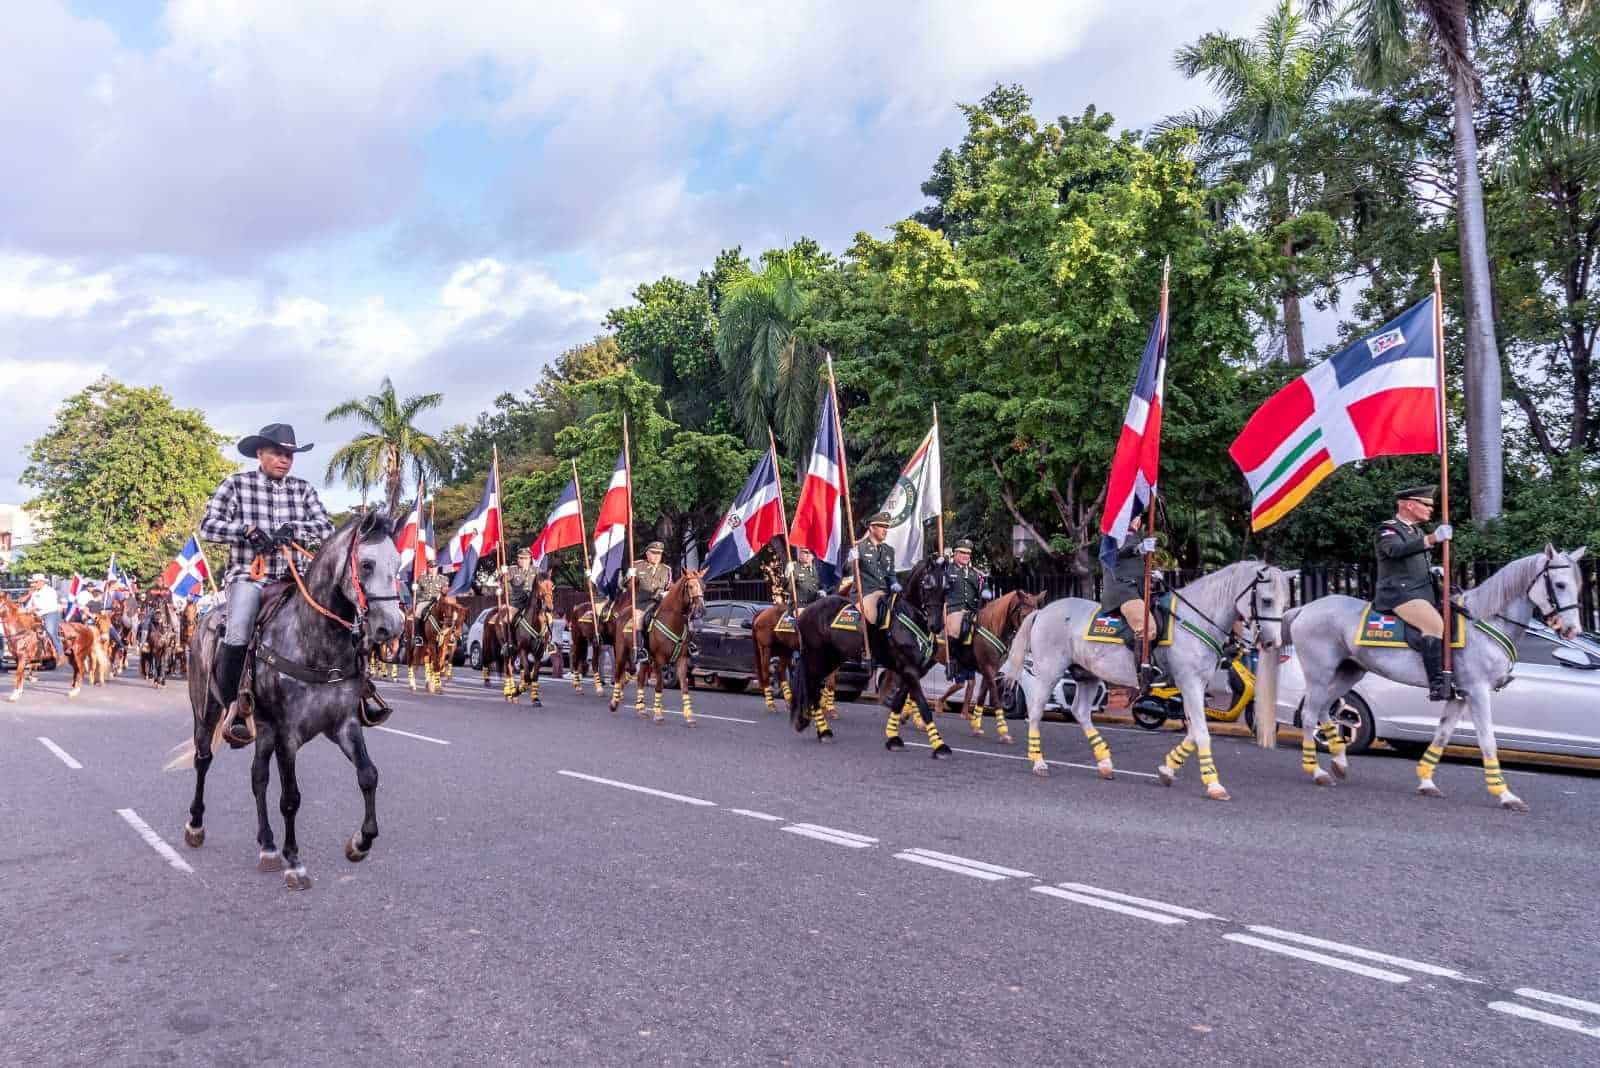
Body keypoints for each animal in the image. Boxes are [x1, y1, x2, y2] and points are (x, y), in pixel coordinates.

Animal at [180, 511, 403, 888]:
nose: (394, 626)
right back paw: (196, 825)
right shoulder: (288, 734)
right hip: (206, 712)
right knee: (203, 760)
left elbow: (368, 775)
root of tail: (206, 618)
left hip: (262, 728)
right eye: (367, 564)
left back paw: (268, 845)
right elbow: (291, 798)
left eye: (399, 564)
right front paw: (295, 861)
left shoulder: (344, 725)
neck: (316, 642)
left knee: (258, 776)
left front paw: (360, 842)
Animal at [627, 565, 704, 725]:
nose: (700, 610)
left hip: (646, 660)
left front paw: (689, 716)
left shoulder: (682, 660)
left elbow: (685, 686)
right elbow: (659, 685)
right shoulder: (659, 660)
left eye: (704, 586)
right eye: (690, 586)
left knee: (641, 678)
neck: (673, 621)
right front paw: (658, 714)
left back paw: (641, 708)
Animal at [940, 588, 1043, 738]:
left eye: (1036, 618)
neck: (991, 627)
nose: (1031, 645)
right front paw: (1003, 730)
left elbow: (982, 696)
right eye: (1024, 616)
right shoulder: (988, 668)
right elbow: (995, 696)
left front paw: (976, 726)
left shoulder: (990, 670)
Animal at [1004, 559, 1292, 799]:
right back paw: (1038, 761)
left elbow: (1194, 732)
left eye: (1285, 603)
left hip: (1087, 675)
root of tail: (1043, 611)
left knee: (1080, 711)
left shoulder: (1194, 686)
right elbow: (1201, 732)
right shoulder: (1190, 683)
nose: (1272, 642)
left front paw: (1168, 769)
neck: (1195, 620)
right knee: (1036, 710)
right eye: (1266, 600)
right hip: (1049, 670)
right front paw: (1213, 783)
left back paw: (1105, 762)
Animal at [1260, 543, 1587, 808]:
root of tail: (1304, 608)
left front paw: (1426, 781)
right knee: (1311, 714)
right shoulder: (1477, 691)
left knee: (1326, 709)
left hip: (1348, 673)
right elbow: (1487, 741)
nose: (1573, 630)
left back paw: (1339, 762)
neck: (1484, 621)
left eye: (1577, 585)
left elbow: (1442, 734)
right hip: (1320, 673)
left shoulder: (1459, 696)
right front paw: (1505, 794)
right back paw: (1316, 771)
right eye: (1559, 584)